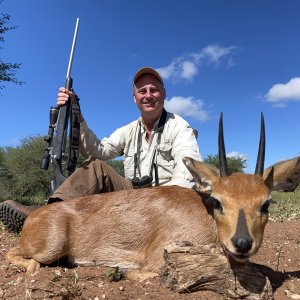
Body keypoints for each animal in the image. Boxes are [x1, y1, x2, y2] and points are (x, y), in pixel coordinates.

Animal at [5, 113, 300, 278]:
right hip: (51, 248)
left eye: (266, 204)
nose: (242, 243)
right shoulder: (158, 260)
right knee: (14, 253)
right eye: (218, 201)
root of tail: (35, 215)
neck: (204, 215)